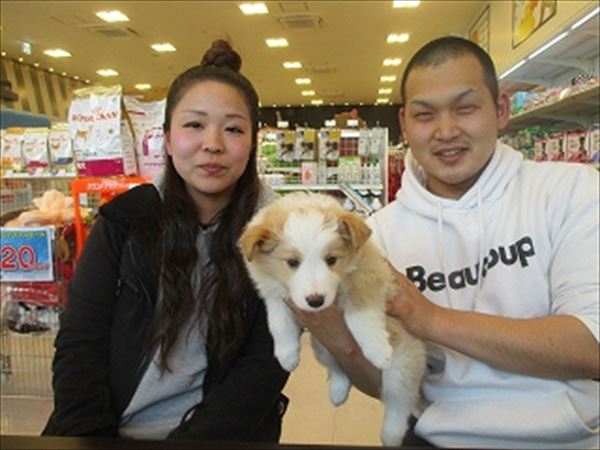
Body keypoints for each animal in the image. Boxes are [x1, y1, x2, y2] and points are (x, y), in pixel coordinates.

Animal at [239, 192, 425, 446]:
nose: (315, 301)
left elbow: (361, 318)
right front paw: (287, 356)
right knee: (338, 369)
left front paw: (378, 351)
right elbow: (279, 323)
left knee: (399, 402)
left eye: (331, 259)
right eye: (292, 262)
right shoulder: (275, 294)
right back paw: (337, 392)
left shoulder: (367, 276)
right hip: (324, 348)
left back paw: (391, 435)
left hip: (403, 365)